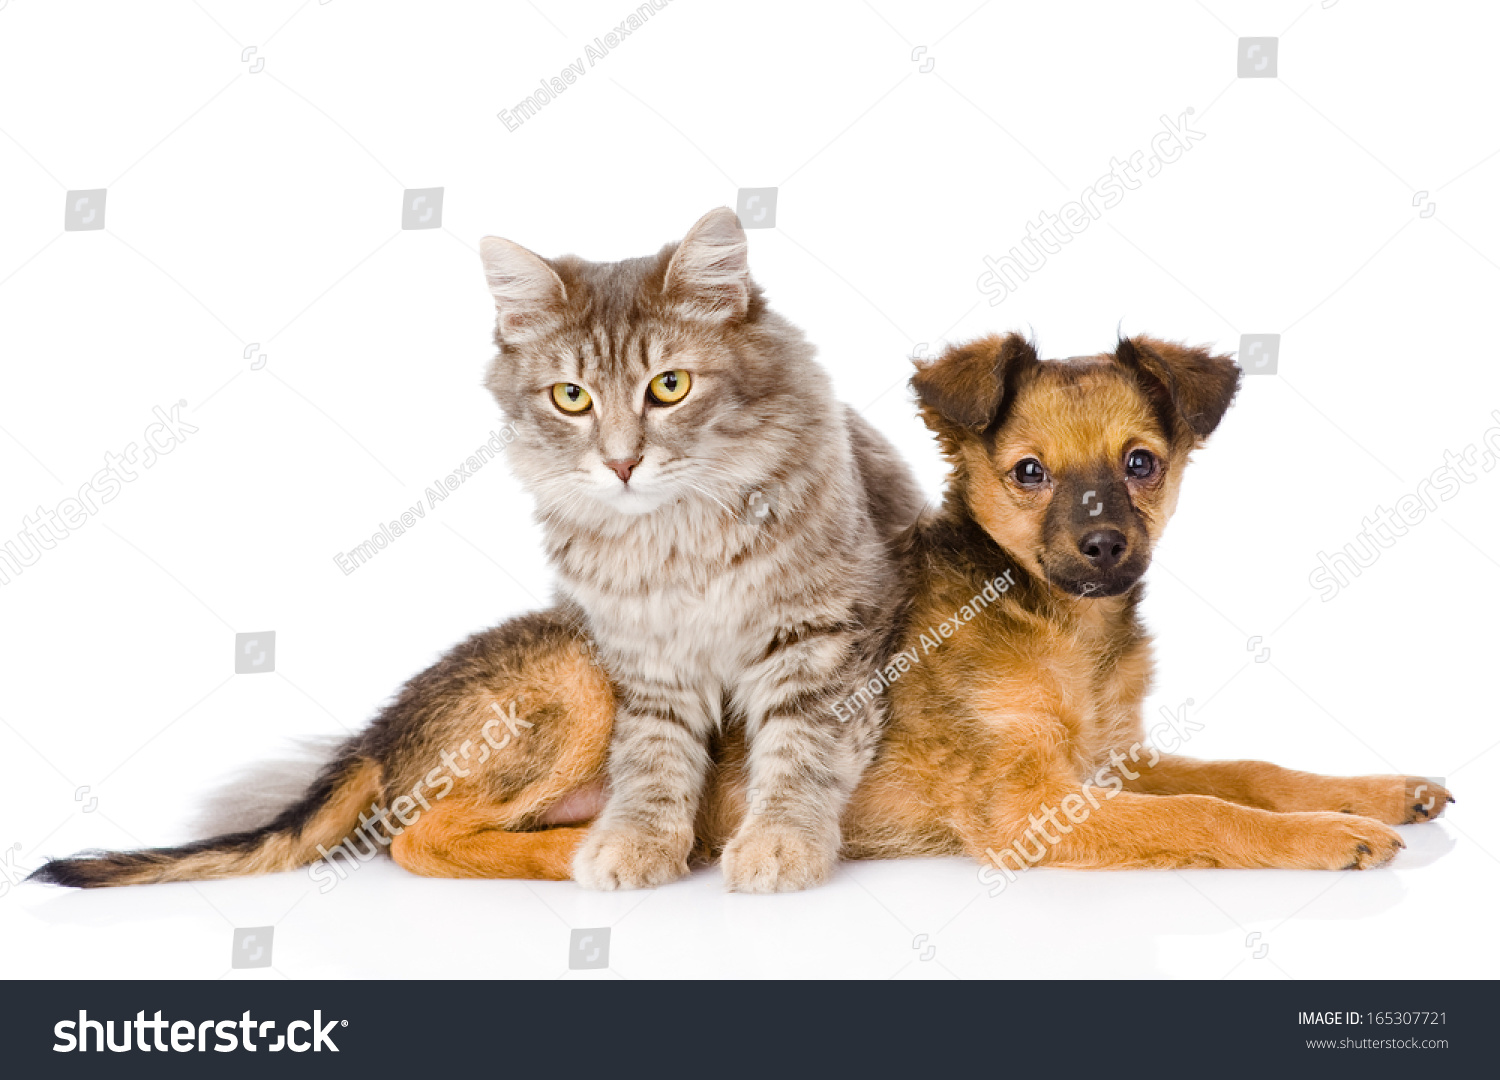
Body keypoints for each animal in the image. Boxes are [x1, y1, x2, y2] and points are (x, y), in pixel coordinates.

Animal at [38, 336, 1452, 888]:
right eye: (1027, 474)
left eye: (1143, 463)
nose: (1104, 547)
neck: (1063, 631)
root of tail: (390, 719)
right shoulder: (1039, 814)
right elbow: (1217, 814)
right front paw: (1337, 839)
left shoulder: (1110, 763)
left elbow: (1251, 768)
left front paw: (1375, 791)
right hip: (581, 688)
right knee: (428, 837)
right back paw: (599, 849)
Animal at [483, 207, 924, 888]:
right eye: (572, 397)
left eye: (670, 386)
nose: (621, 463)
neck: (677, 543)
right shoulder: (645, 659)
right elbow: (652, 757)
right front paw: (637, 840)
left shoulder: (820, 633)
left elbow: (801, 745)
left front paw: (779, 842)